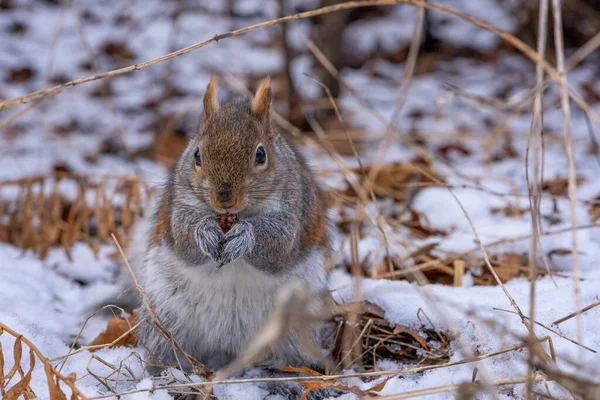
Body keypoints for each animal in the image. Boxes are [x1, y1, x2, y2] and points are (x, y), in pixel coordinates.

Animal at [127, 76, 332, 374]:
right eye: (197, 155)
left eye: (261, 155)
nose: (224, 200)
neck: (235, 216)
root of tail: (227, 344)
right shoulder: (178, 207)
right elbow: (185, 240)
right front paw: (205, 232)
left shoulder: (295, 211)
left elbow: (279, 247)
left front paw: (244, 237)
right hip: (165, 317)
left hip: (294, 322)